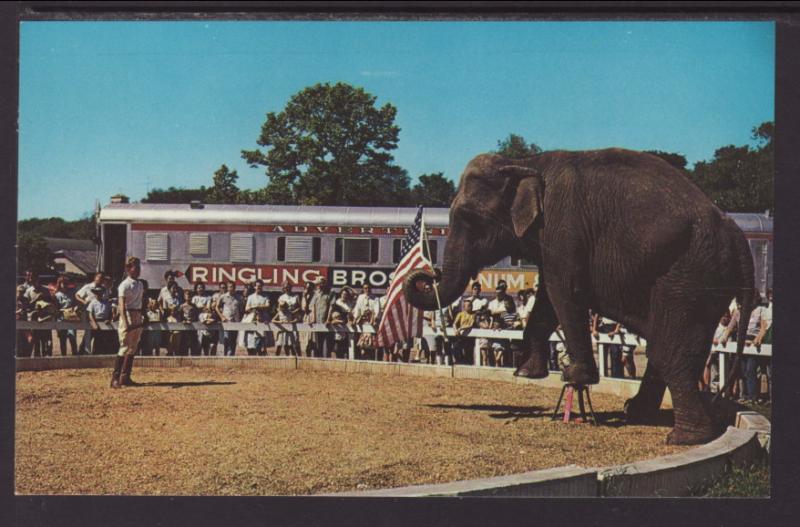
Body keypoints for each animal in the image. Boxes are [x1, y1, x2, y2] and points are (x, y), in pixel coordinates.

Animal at [406, 148, 756, 446]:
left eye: (468, 217)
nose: (428, 272)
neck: (526, 162)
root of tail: (737, 234)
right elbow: (547, 297)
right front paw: (527, 373)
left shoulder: (563, 229)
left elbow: (563, 292)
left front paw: (573, 375)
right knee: (669, 346)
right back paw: (635, 412)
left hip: (688, 276)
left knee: (669, 350)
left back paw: (683, 439)